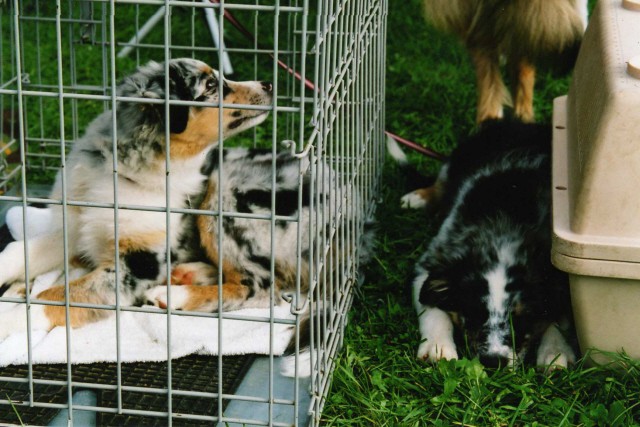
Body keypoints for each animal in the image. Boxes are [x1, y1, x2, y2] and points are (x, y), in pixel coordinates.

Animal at [408, 122, 576, 370]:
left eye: (521, 318)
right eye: (474, 313)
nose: (493, 362)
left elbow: (559, 316)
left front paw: (555, 353)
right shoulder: (433, 260)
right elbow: (432, 308)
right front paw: (438, 348)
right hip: (457, 158)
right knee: (439, 183)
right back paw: (416, 198)